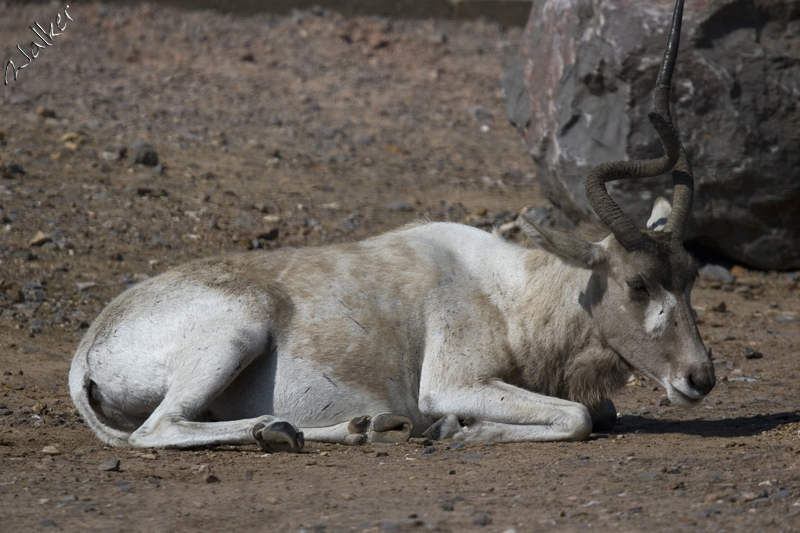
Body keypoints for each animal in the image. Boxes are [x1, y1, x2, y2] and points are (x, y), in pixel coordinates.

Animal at [69, 0, 716, 450]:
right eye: (637, 283)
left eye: (689, 278)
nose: (700, 378)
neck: (510, 292)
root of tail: (88, 349)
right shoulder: (453, 381)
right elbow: (581, 415)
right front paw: (459, 429)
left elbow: (597, 411)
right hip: (238, 330)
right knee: (157, 430)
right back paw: (282, 431)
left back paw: (355, 427)